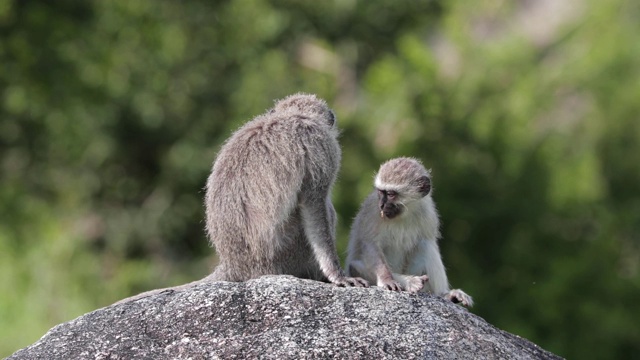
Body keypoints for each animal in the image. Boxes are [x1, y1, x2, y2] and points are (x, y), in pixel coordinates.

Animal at [348, 158, 472, 306]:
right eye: (381, 192)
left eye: (391, 194)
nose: (382, 205)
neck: (404, 213)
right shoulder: (373, 210)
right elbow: (371, 244)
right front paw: (387, 279)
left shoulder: (428, 215)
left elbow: (429, 242)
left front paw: (444, 293)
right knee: (355, 266)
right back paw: (410, 282)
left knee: (425, 245)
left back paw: (444, 294)